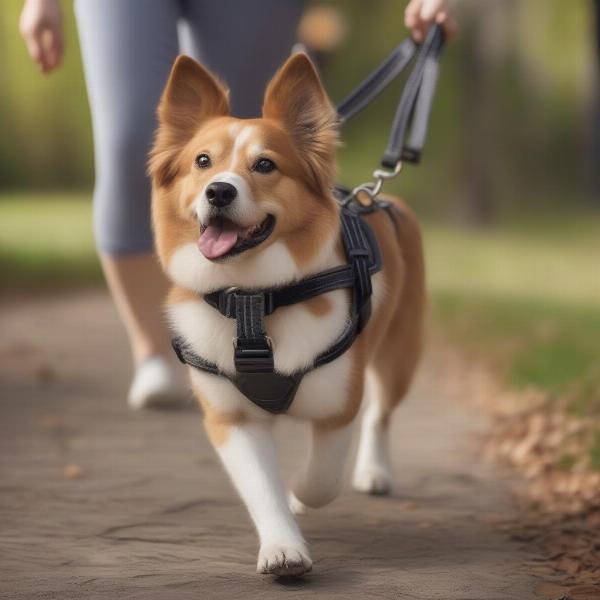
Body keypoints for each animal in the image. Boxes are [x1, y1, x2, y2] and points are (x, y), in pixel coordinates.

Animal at [148, 51, 424, 576]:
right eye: (202, 161)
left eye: (265, 165)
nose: (218, 192)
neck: (255, 300)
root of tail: (384, 197)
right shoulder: (232, 418)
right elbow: (261, 487)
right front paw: (283, 547)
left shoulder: (339, 404)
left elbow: (322, 479)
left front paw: (299, 493)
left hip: (401, 354)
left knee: (380, 412)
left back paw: (374, 470)